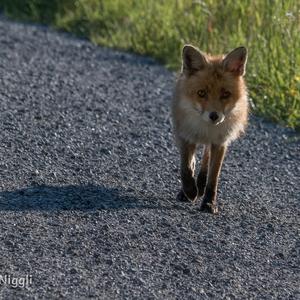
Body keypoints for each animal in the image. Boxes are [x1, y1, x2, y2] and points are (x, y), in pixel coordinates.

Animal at [171, 44, 248, 213]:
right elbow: (185, 168)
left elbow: (213, 178)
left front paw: (208, 203)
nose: (214, 116)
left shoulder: (220, 143)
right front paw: (190, 191)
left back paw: (200, 185)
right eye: (201, 93)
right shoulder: (185, 135)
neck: (206, 130)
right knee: (192, 161)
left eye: (225, 94)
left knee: (205, 161)